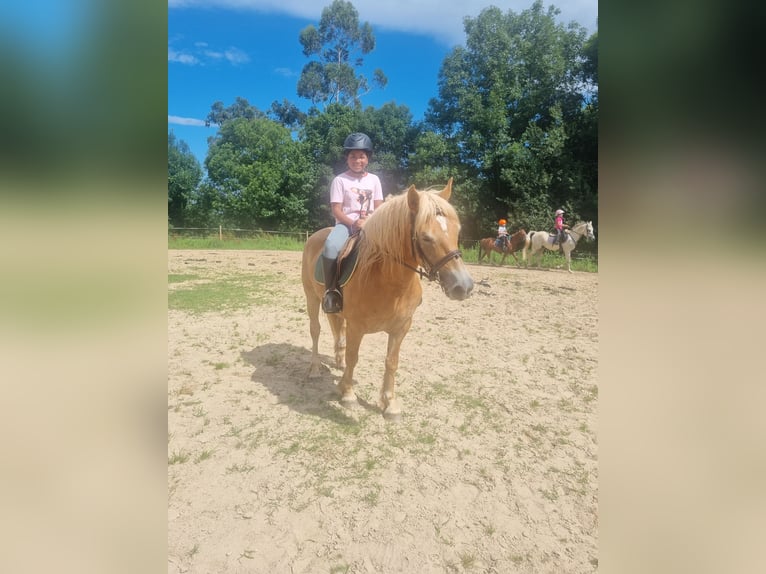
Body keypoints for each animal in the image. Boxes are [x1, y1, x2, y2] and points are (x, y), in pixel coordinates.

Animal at [302, 178, 474, 420]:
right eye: (426, 237)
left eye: (457, 231)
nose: (463, 286)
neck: (386, 279)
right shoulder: (357, 326)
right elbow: (354, 358)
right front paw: (348, 395)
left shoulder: (401, 327)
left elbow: (391, 362)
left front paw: (390, 404)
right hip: (311, 298)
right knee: (315, 331)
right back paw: (315, 370)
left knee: (338, 333)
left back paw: (338, 363)